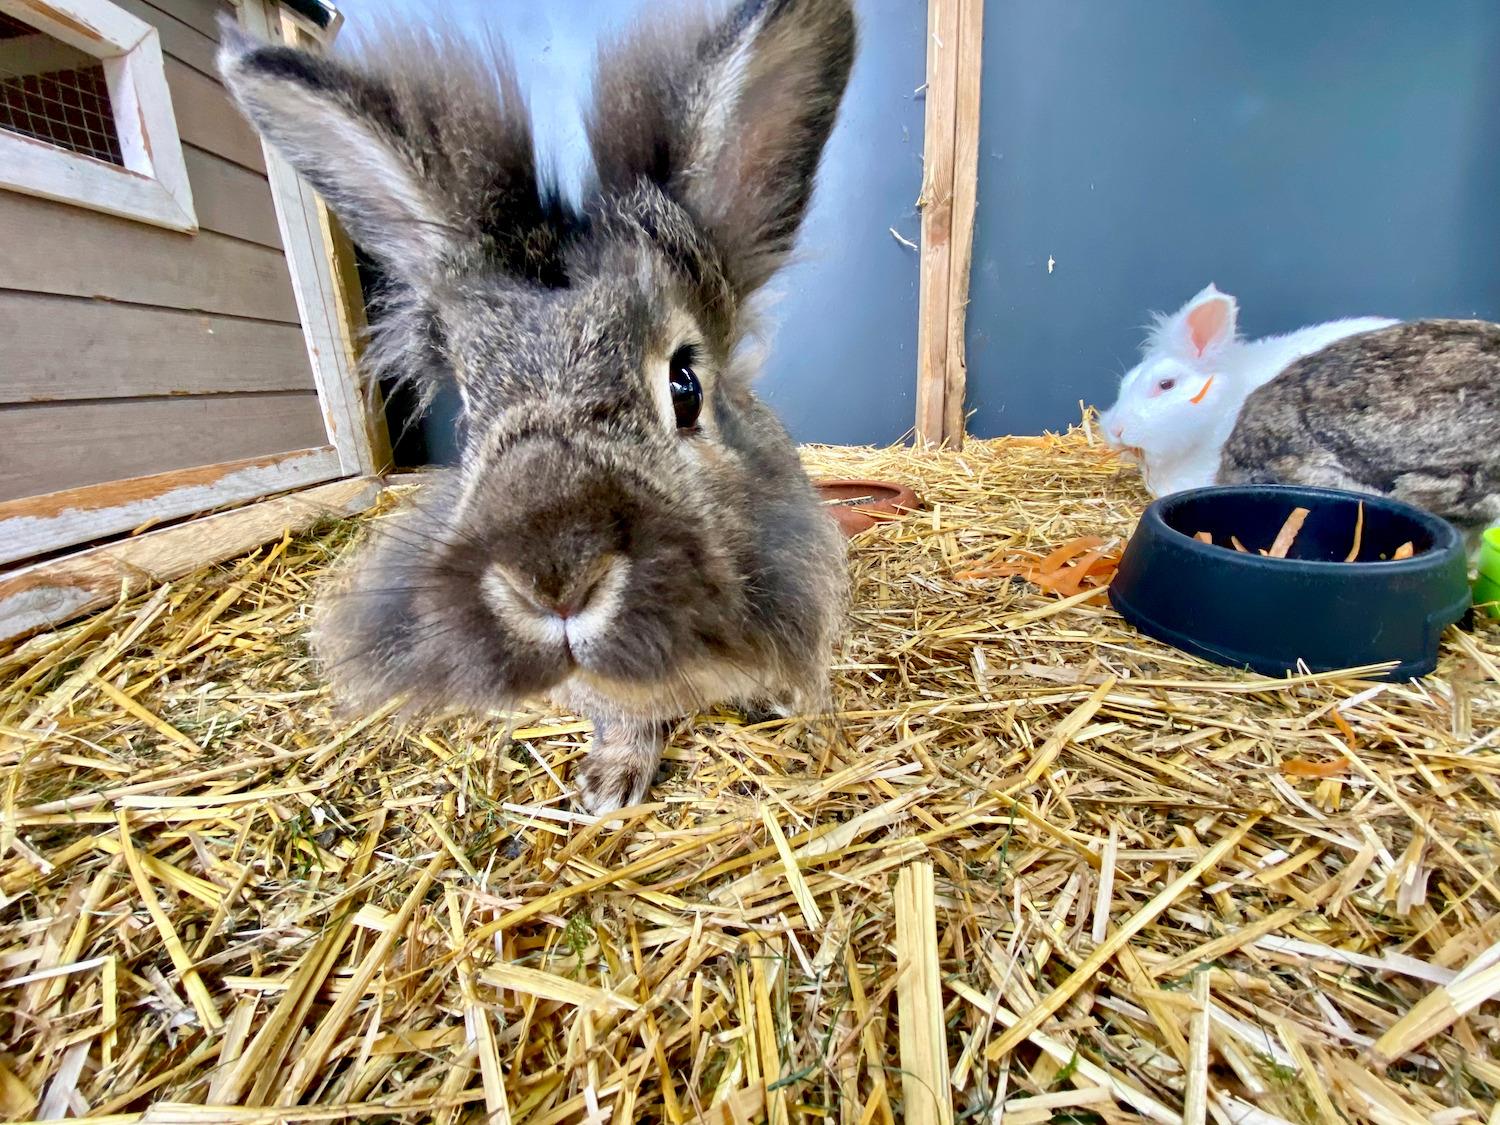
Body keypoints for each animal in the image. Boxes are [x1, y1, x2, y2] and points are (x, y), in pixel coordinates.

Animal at [217, 0, 855, 815]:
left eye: (685, 385)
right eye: (469, 411)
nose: (555, 582)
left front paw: (788, 708)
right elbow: (625, 716)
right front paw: (610, 784)